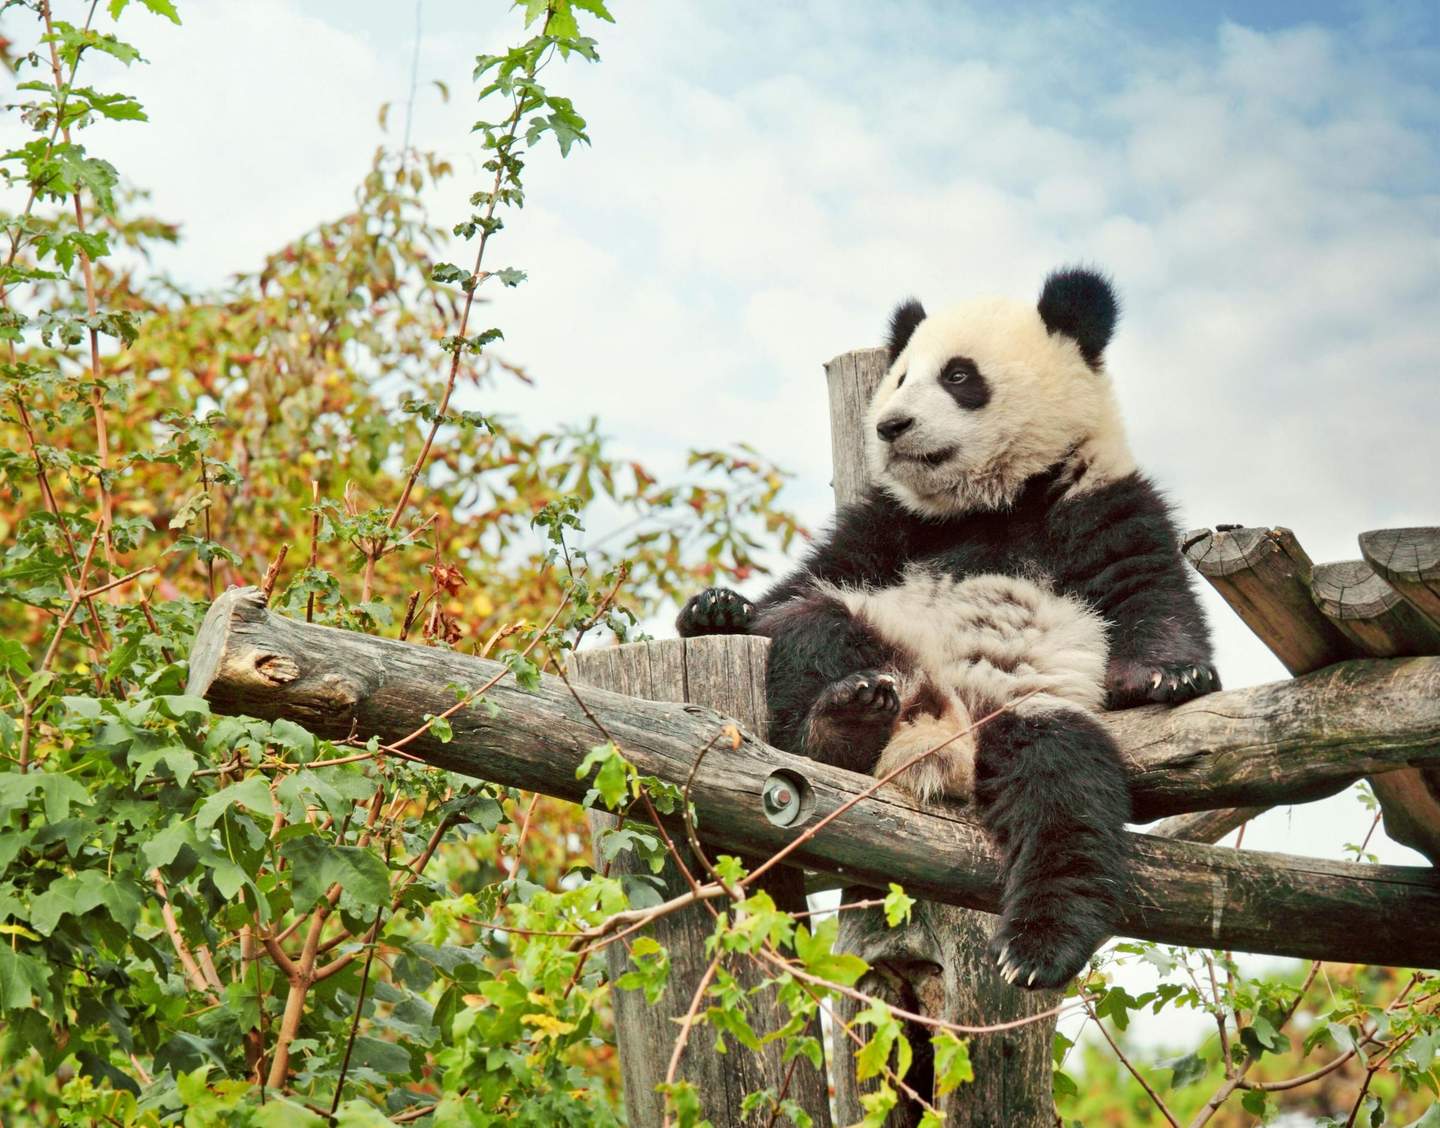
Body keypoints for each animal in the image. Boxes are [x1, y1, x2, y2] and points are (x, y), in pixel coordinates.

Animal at [677, 267, 1218, 990]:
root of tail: (943, 737)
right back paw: (845, 718)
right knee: (813, 627)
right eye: (901, 377)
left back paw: (1039, 947)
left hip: (1028, 712)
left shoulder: (1098, 496)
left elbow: (1147, 587)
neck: (993, 501)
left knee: (1066, 792)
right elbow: (813, 577)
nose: (890, 425)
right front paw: (715, 608)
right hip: (876, 638)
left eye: (960, 376)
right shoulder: (889, 524)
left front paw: (1173, 674)